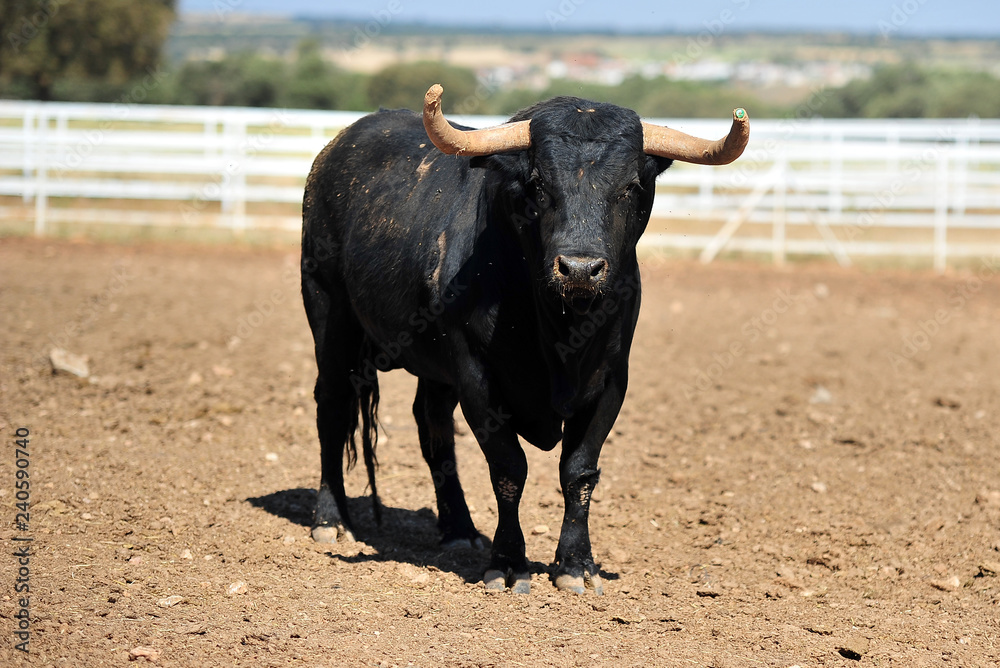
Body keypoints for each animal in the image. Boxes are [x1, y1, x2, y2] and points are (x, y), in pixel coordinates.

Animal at [300, 90, 748, 596]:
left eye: (631, 186)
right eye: (538, 185)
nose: (579, 269)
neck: (558, 333)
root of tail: (339, 146)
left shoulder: (610, 380)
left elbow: (579, 471)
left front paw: (576, 565)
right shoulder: (477, 377)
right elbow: (509, 469)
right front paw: (509, 562)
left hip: (434, 365)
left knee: (433, 428)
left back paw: (458, 529)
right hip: (329, 314)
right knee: (333, 408)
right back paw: (331, 520)